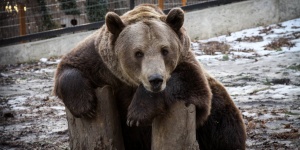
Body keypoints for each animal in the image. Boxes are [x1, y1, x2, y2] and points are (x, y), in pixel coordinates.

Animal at [54, 3, 246, 150]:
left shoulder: (186, 63)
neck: (129, 81)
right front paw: (85, 107)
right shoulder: (100, 63)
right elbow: (69, 67)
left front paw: (137, 114)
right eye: (138, 53)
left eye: (165, 50)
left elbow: (194, 88)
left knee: (224, 128)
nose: (155, 79)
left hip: (220, 115)